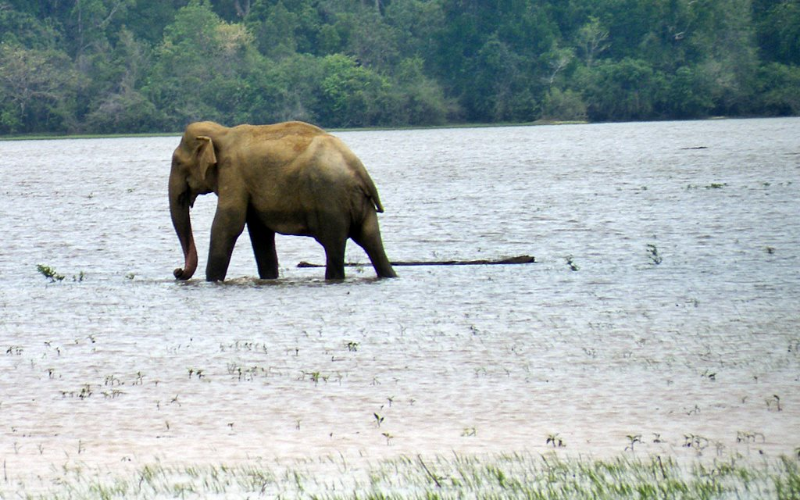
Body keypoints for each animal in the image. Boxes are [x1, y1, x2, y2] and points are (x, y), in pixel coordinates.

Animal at [169, 120, 396, 282]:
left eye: (177, 163)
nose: (178, 271)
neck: (223, 132)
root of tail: (359, 171)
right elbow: (260, 232)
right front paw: (269, 278)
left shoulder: (234, 174)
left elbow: (228, 224)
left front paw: (212, 280)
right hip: (360, 205)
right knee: (372, 241)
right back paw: (390, 275)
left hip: (330, 201)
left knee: (334, 247)